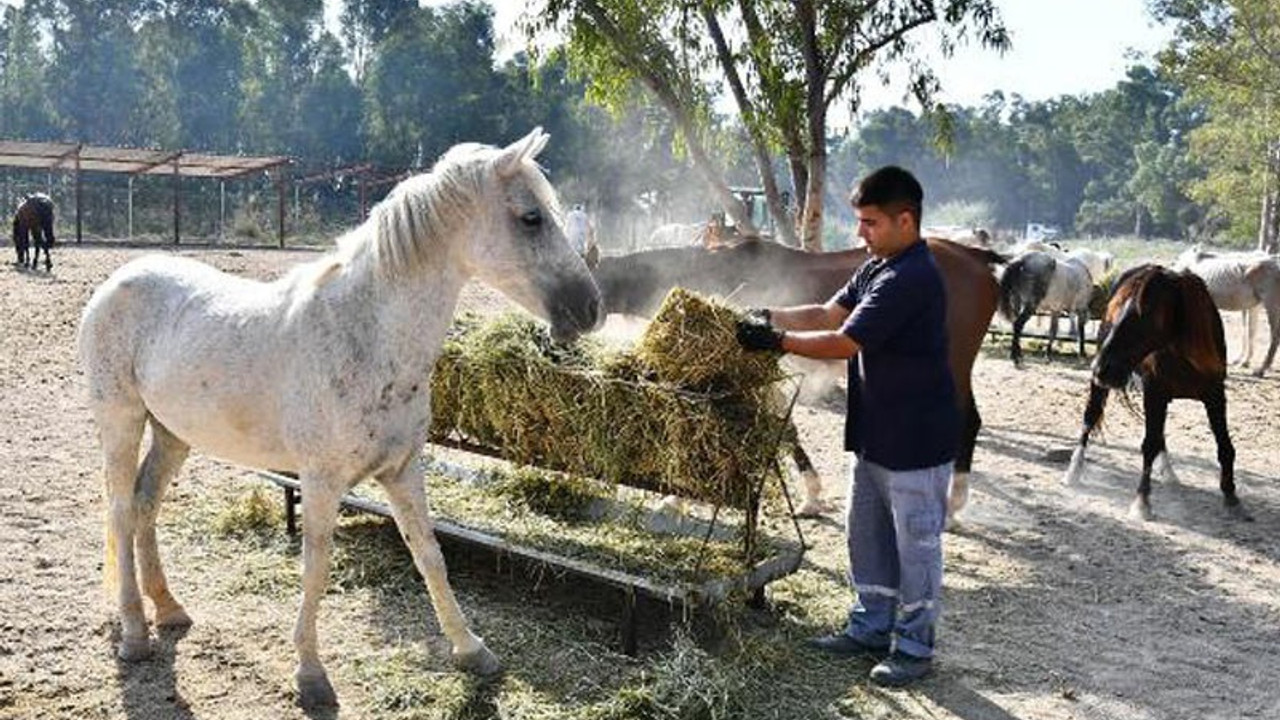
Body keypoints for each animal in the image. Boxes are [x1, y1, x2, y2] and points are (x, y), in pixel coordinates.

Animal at [80, 128, 599, 707]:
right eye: (531, 218)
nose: (590, 308)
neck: (368, 335)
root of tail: (118, 280)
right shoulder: (322, 481)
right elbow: (316, 568)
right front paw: (310, 675)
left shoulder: (403, 471)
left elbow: (430, 555)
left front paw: (472, 651)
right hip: (121, 422)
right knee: (121, 512)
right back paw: (134, 634)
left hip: (172, 434)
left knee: (145, 506)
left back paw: (169, 609)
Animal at [593, 238, 1003, 525]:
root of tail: (973, 255)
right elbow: (784, 430)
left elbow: (784, 429)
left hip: (953, 364)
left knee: (968, 421)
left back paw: (953, 505)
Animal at [1064, 262, 1244, 515]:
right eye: (1118, 310)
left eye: (1144, 313)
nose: (1100, 368)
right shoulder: (1154, 394)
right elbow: (1148, 444)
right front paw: (1142, 502)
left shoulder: (1215, 395)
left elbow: (1225, 445)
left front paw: (1230, 494)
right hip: (1104, 387)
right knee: (1091, 416)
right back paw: (1074, 471)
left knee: (1159, 435)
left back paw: (1169, 473)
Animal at [1172, 243, 1280, 371]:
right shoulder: (1253, 307)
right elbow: (1250, 332)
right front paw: (1243, 362)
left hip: (1271, 303)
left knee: (1275, 335)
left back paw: (1261, 370)